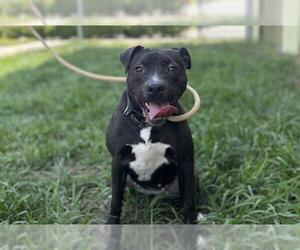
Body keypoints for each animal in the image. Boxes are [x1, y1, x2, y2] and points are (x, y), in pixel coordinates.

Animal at [105, 46, 197, 224]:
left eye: (172, 68)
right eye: (139, 69)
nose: (155, 87)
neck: (147, 125)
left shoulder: (186, 162)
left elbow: (189, 201)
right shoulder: (118, 162)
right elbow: (116, 201)